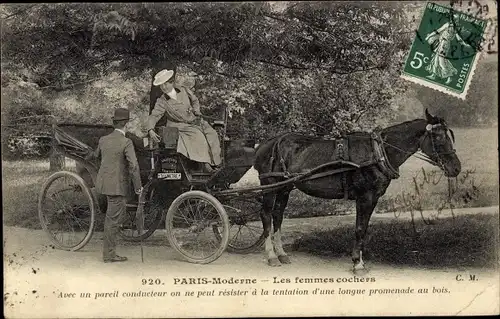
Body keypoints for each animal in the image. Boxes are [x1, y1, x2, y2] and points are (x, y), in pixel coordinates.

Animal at [254, 109, 460, 270]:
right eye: (438, 137)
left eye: (450, 136)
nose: (456, 168)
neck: (378, 153)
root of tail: (266, 144)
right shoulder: (365, 197)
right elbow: (360, 229)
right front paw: (357, 263)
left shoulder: (373, 198)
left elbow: (364, 228)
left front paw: (359, 259)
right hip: (269, 185)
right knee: (266, 215)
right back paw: (271, 256)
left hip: (284, 187)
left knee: (278, 215)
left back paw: (282, 254)